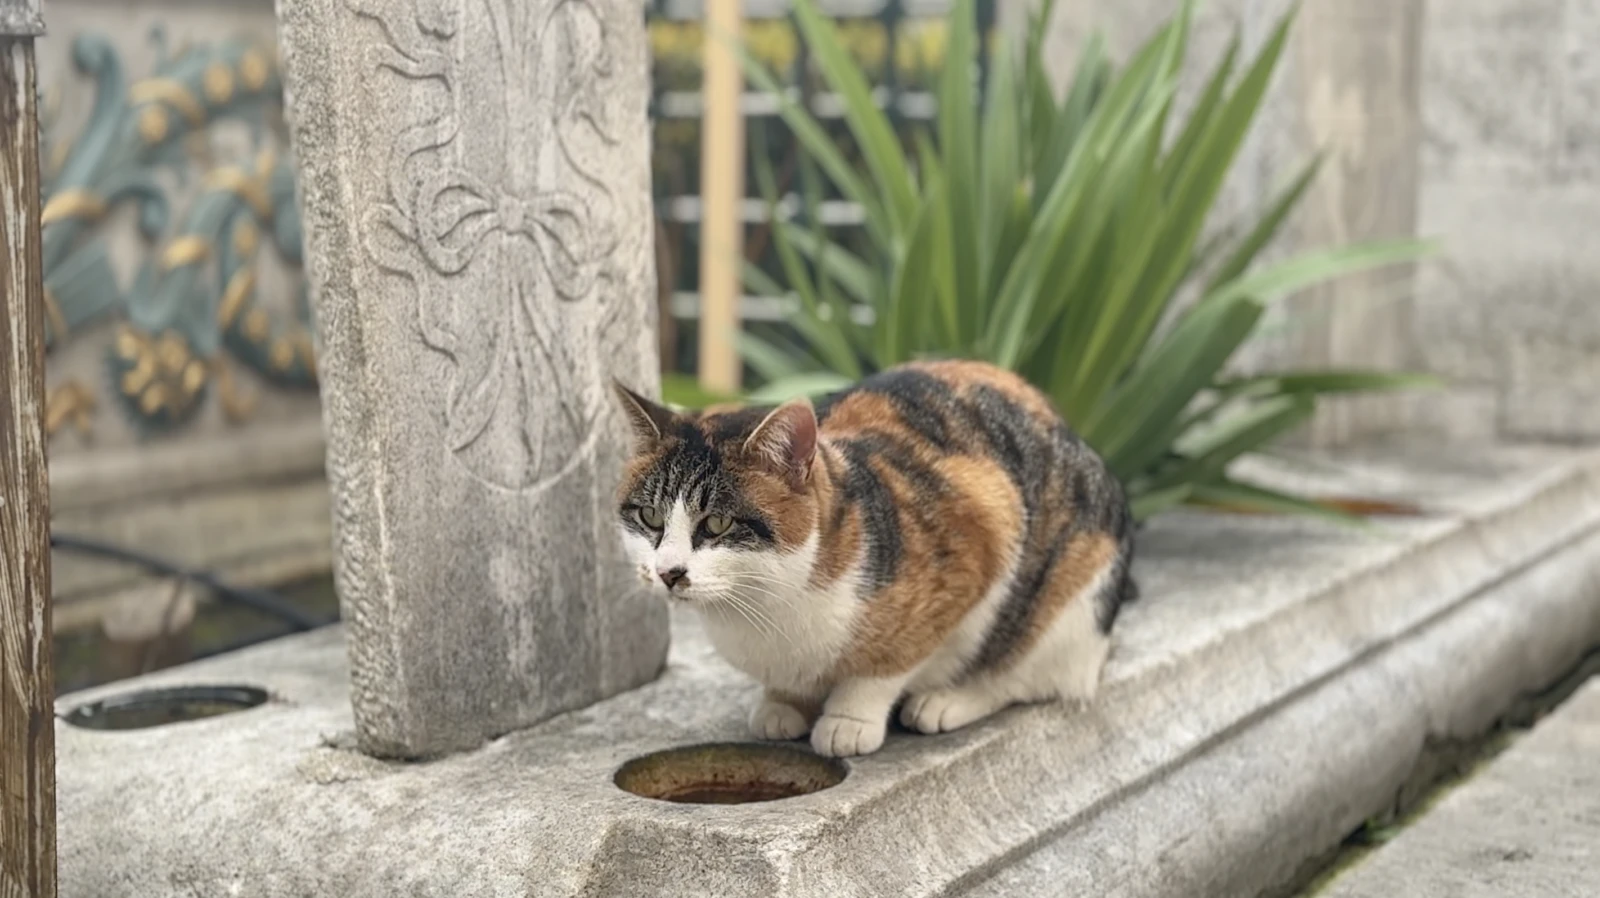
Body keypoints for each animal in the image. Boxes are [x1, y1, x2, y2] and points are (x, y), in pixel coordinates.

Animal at [611, 356, 1139, 755]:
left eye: (717, 524)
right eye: (650, 517)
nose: (668, 572)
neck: (768, 609)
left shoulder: (983, 528)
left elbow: (886, 664)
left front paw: (849, 719)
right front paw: (782, 704)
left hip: (1071, 600)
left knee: (1025, 674)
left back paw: (947, 701)